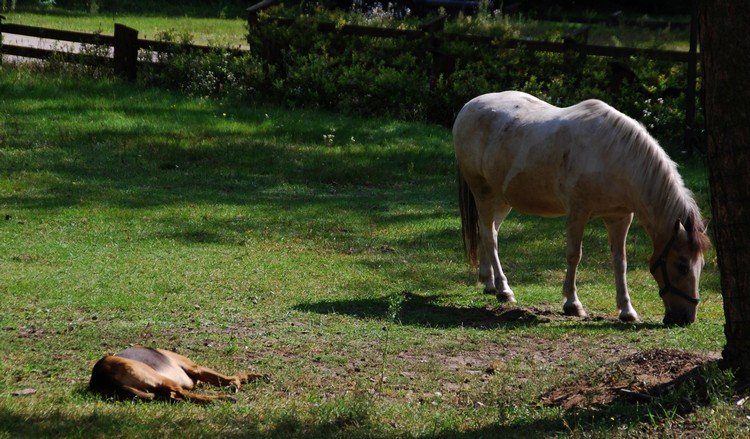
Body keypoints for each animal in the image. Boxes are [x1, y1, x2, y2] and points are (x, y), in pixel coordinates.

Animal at [90, 348, 268, 406]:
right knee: (183, 394)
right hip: (159, 378)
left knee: (176, 396)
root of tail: (103, 378)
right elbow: (231, 377)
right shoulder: (196, 368)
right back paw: (221, 399)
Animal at [456, 92, 712, 326]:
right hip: (483, 194)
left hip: (502, 200)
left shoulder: (619, 217)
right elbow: (574, 255)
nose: (685, 319)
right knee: (489, 236)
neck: (614, 157)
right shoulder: (578, 213)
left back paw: (489, 283)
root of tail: (468, 107)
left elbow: (620, 262)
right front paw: (572, 304)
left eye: (701, 265)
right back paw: (503, 289)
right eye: (681, 265)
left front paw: (626, 310)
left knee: (489, 232)